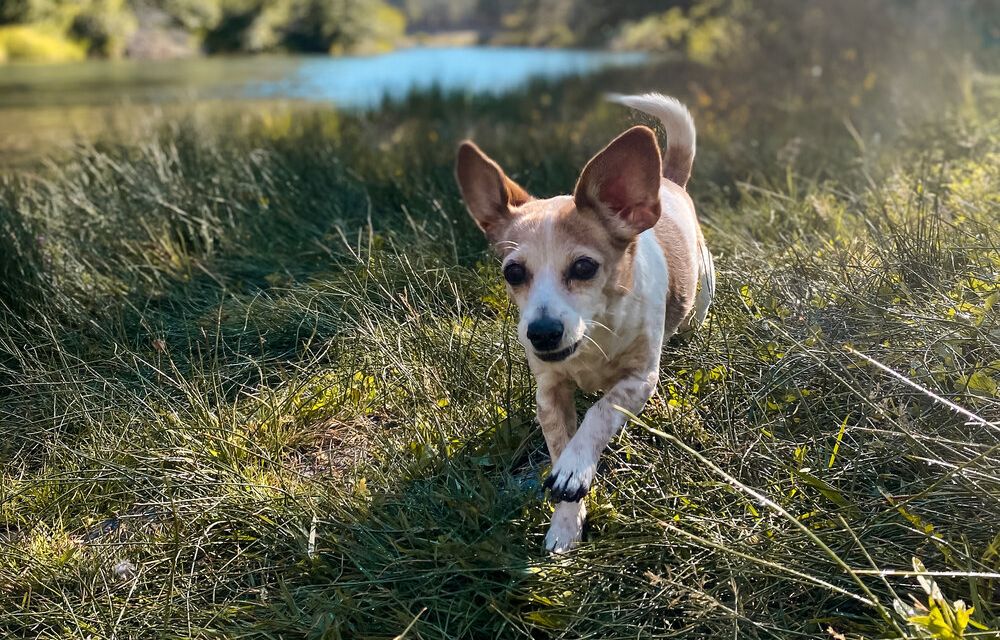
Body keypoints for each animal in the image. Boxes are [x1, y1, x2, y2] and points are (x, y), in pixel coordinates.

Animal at [458, 92, 716, 552]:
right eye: (513, 273)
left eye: (583, 267)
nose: (542, 333)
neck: (594, 337)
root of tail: (669, 180)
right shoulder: (549, 392)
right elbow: (562, 444)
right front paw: (566, 521)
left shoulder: (639, 380)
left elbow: (600, 411)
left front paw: (577, 466)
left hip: (702, 286)